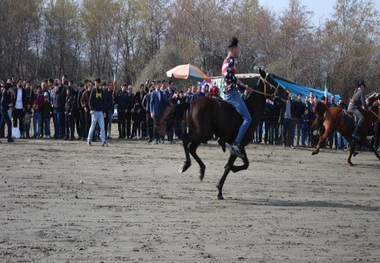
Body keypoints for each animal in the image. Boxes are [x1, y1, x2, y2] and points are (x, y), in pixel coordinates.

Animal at [159, 68, 286, 200]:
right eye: (272, 81)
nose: (286, 94)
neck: (251, 109)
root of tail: (191, 103)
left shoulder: (240, 147)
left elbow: (245, 164)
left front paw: (230, 173)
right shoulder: (238, 146)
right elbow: (230, 166)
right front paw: (220, 190)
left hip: (201, 133)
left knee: (191, 148)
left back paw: (201, 170)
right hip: (204, 133)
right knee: (185, 140)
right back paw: (186, 165)